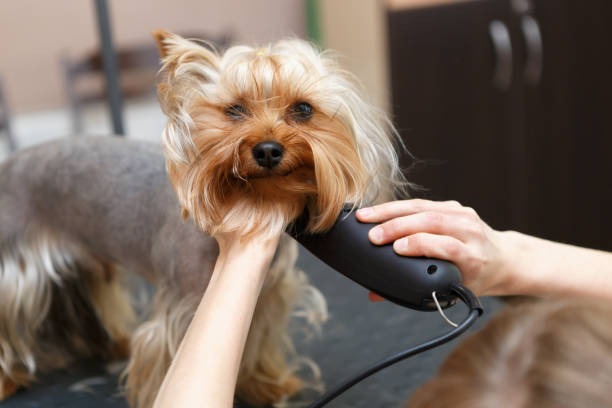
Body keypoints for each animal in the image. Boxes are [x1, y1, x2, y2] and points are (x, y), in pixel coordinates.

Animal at [1, 31, 412, 404]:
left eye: (303, 109)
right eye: (234, 110)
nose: (267, 150)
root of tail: (9, 164)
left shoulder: (264, 296)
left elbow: (254, 340)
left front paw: (265, 386)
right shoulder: (185, 307)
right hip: (16, 264)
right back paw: (10, 379)